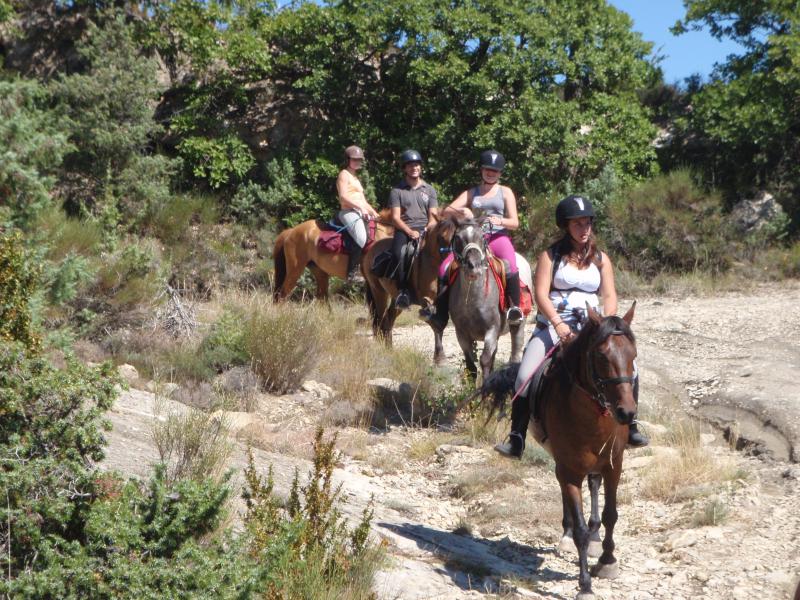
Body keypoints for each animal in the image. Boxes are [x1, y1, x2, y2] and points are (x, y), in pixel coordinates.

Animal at [364, 218, 456, 364]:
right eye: (441, 237)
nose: (450, 261)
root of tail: (371, 248)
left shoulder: (442, 301)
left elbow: (441, 321)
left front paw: (440, 357)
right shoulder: (426, 300)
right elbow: (436, 323)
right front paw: (440, 358)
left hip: (396, 298)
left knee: (389, 318)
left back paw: (390, 348)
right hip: (378, 292)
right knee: (380, 318)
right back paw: (382, 348)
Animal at [446, 220, 528, 384]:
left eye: (483, 237)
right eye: (457, 238)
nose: (474, 266)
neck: (472, 299)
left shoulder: (491, 330)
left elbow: (484, 360)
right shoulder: (461, 333)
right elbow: (471, 365)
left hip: (518, 325)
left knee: (515, 352)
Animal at [482, 304, 636, 600]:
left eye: (633, 354)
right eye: (601, 355)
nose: (626, 413)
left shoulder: (614, 465)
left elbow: (611, 515)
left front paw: (607, 561)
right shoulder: (570, 469)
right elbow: (579, 530)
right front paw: (585, 584)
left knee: (593, 486)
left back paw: (595, 535)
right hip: (562, 462)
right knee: (566, 493)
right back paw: (568, 533)